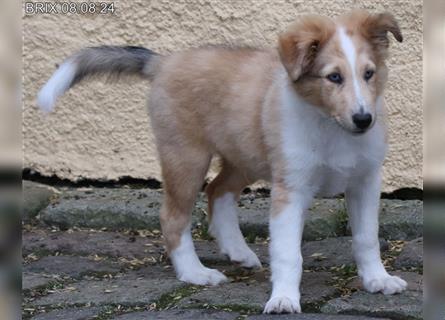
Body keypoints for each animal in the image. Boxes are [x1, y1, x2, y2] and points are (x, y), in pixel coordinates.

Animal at [38, 9, 406, 312]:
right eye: (334, 77)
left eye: (369, 73)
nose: (364, 120)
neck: (331, 127)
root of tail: (164, 62)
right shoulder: (291, 189)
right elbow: (288, 252)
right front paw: (284, 299)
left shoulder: (365, 181)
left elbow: (367, 237)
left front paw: (377, 280)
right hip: (186, 158)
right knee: (174, 217)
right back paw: (195, 273)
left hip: (243, 156)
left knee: (217, 192)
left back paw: (238, 252)